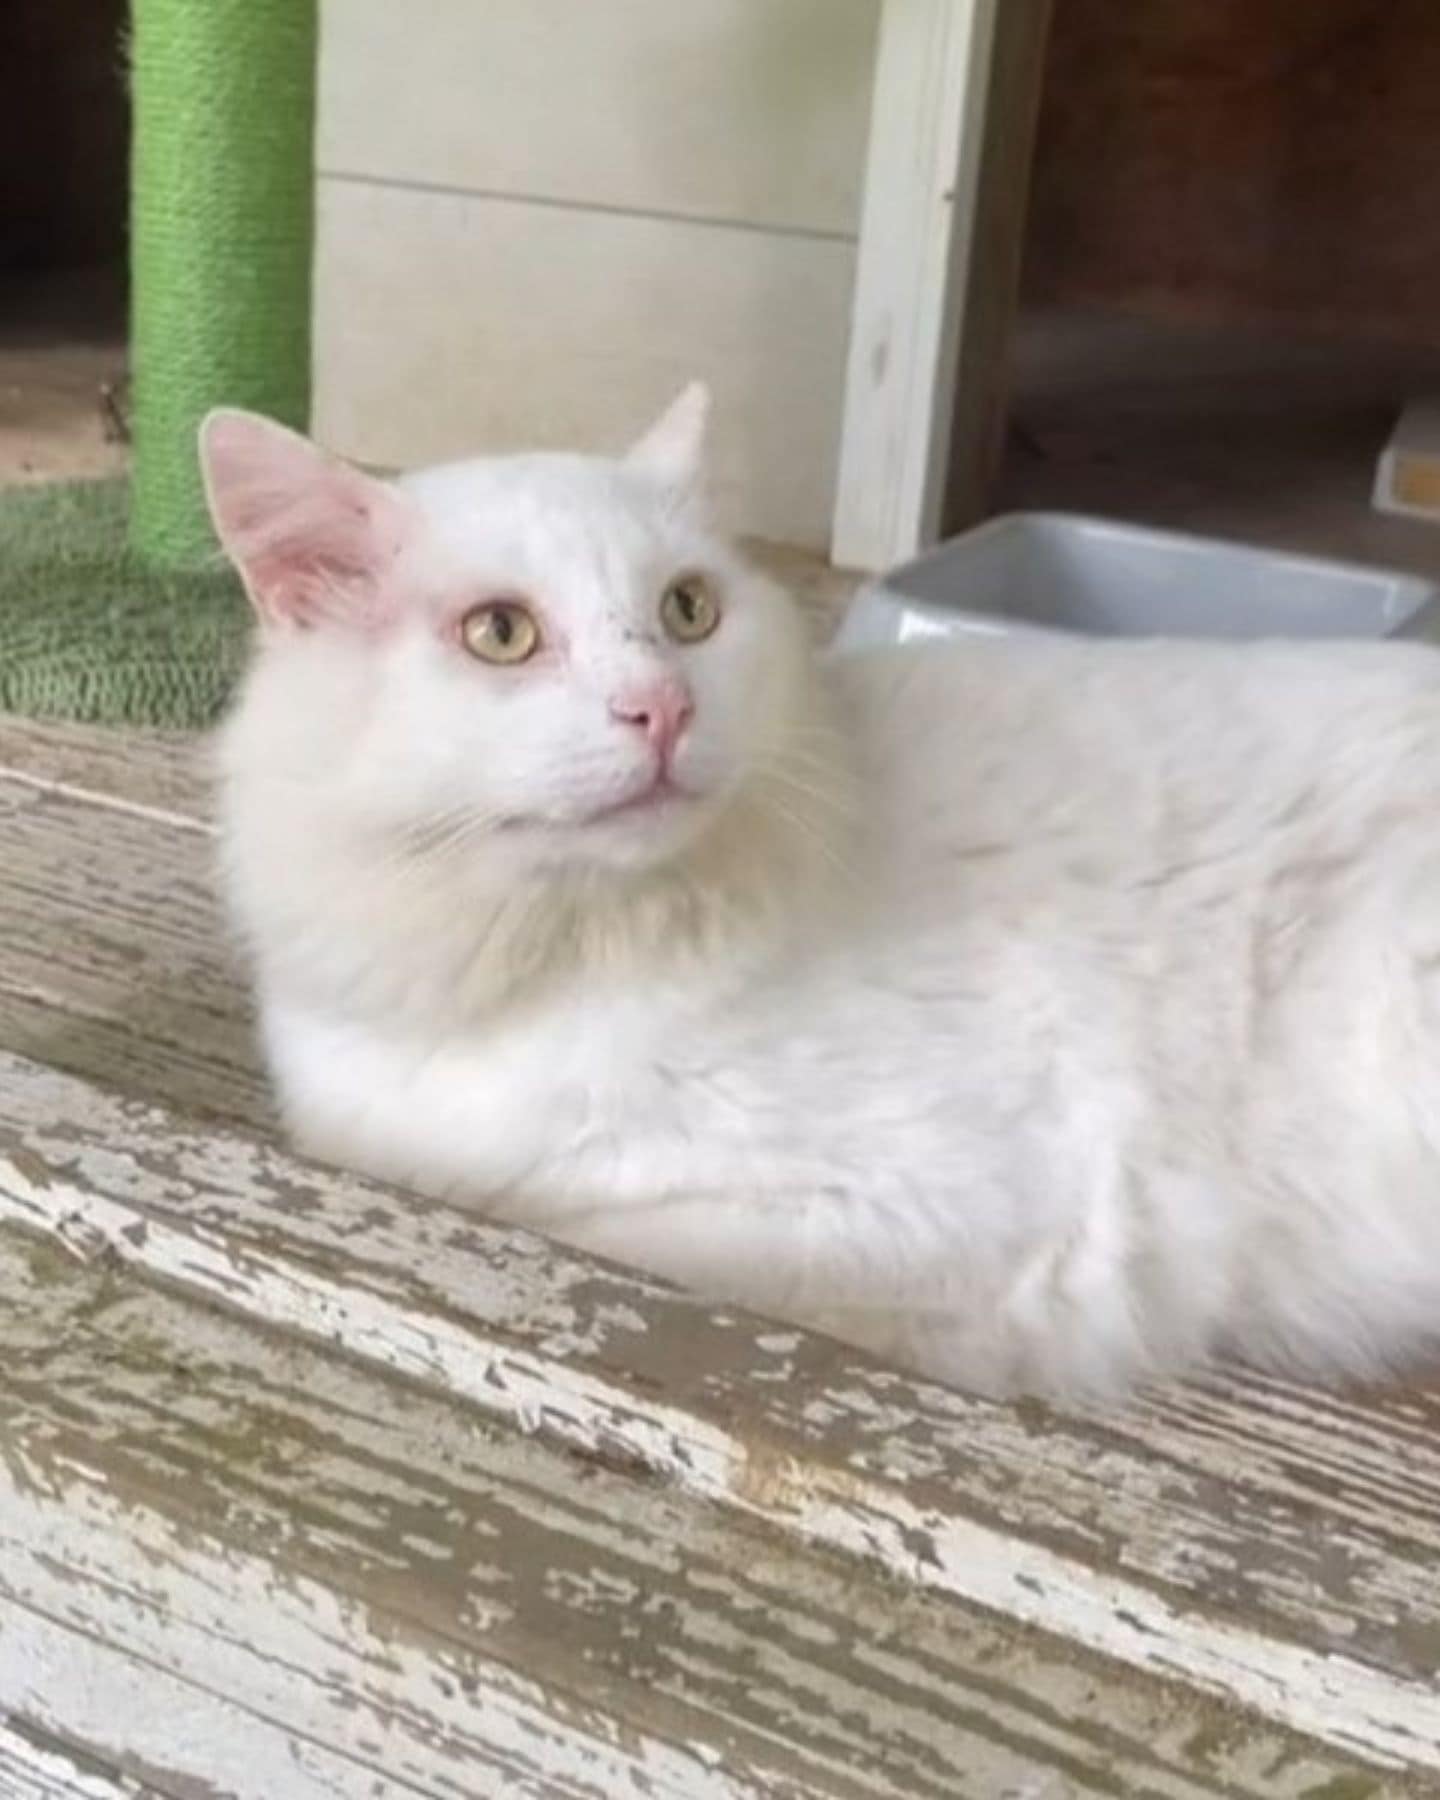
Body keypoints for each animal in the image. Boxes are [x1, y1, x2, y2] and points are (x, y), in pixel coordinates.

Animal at [199, 390, 1440, 1404]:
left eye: (688, 611)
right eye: (500, 634)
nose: (663, 707)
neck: (559, 954)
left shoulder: (919, 1221)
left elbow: (598, 1229)